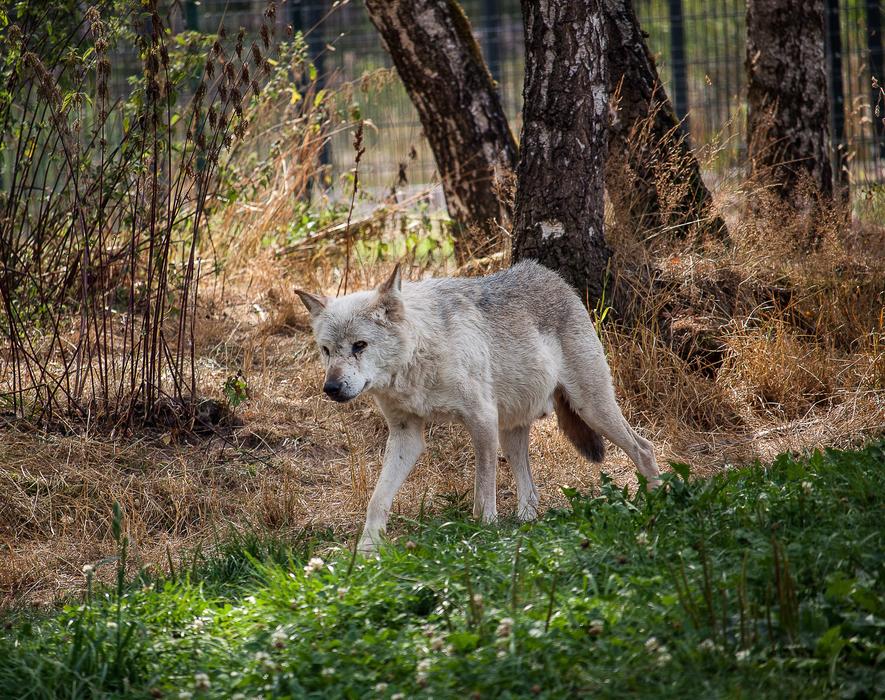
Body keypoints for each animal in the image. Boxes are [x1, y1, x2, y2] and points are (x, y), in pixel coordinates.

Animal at [296, 260, 661, 552]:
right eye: (326, 350)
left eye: (359, 346)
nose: (331, 388)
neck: (419, 356)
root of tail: (553, 277)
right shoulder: (406, 435)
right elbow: (377, 499)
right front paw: (367, 551)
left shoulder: (481, 419)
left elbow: (482, 491)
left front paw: (485, 534)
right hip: (511, 431)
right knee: (530, 491)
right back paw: (526, 522)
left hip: (592, 409)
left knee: (644, 448)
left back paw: (658, 503)